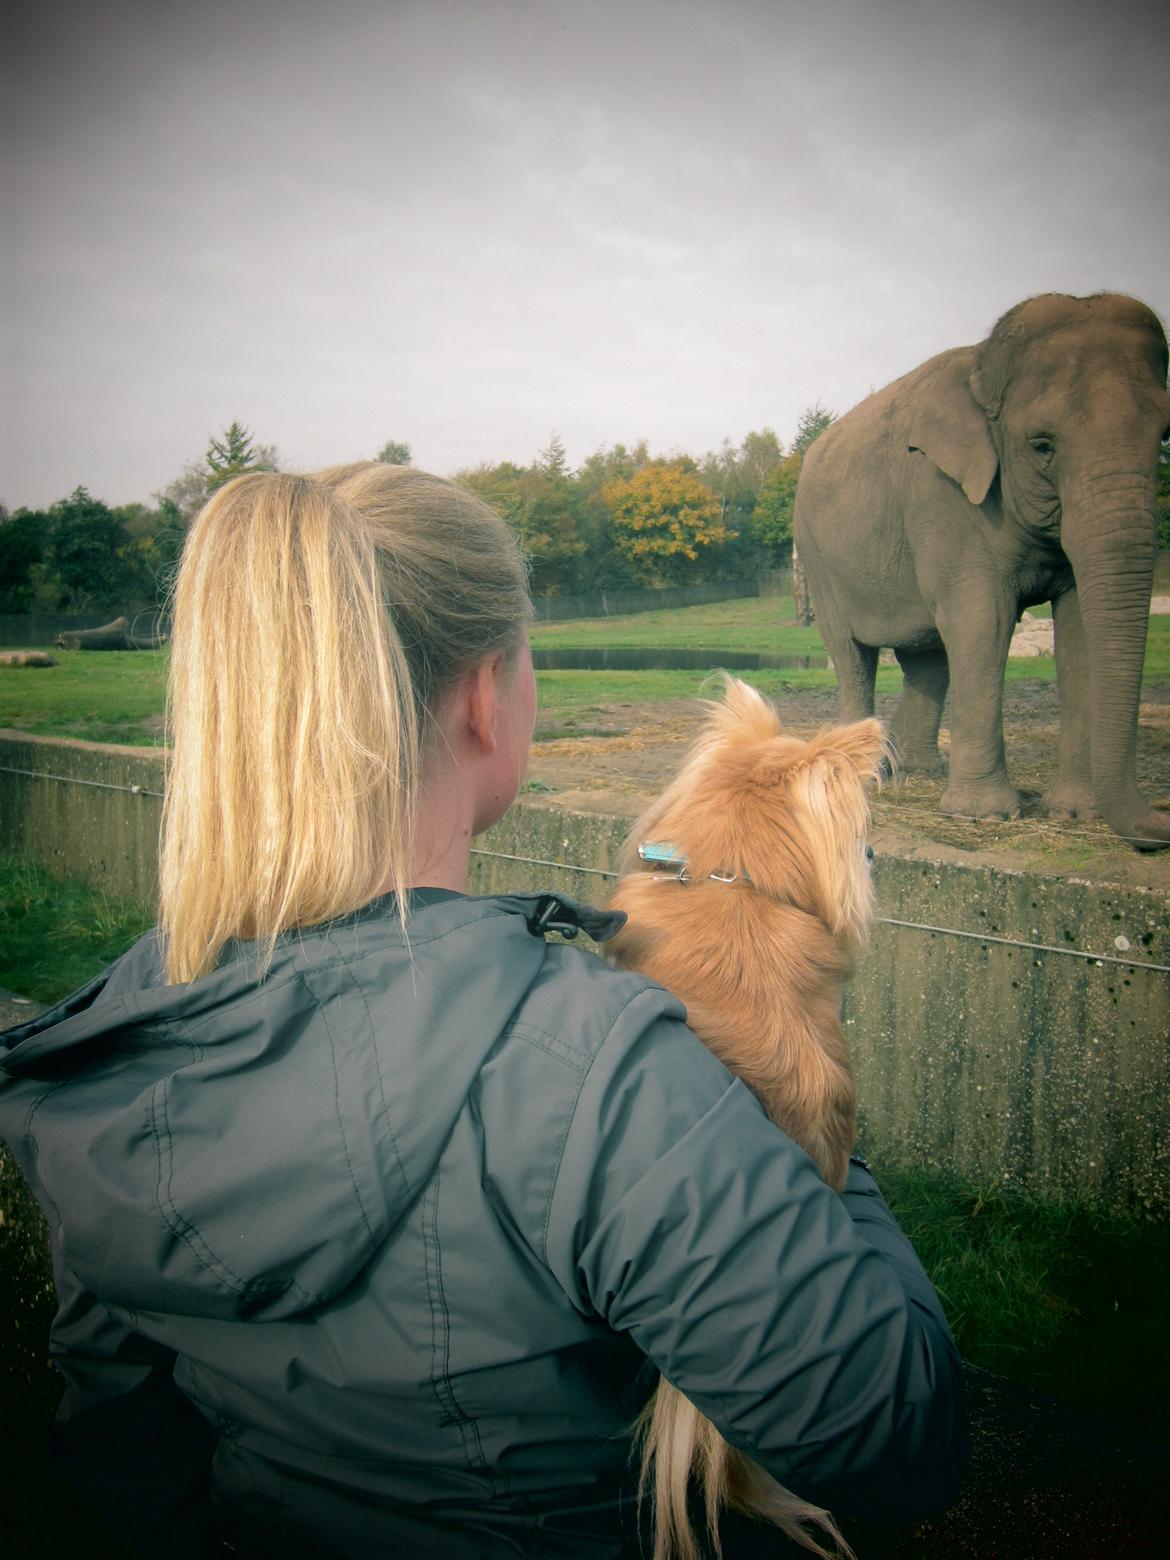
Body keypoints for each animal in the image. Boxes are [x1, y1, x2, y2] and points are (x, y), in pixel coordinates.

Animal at [798, 293, 1170, 854]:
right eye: (1042, 445)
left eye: (1165, 436)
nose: (1161, 828)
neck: (981, 367)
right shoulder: (942, 496)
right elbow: (981, 620)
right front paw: (985, 816)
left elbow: (1078, 628)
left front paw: (1076, 812)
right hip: (818, 559)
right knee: (852, 654)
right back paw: (869, 776)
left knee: (927, 658)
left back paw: (918, 771)